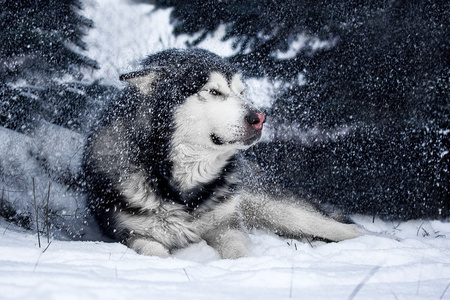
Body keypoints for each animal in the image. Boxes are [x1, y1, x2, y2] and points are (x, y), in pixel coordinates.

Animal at [83, 48, 366, 258]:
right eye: (214, 92)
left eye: (241, 93)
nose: (260, 118)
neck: (183, 189)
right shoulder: (132, 235)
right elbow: (155, 253)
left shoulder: (226, 225)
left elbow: (237, 251)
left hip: (271, 206)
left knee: (338, 226)